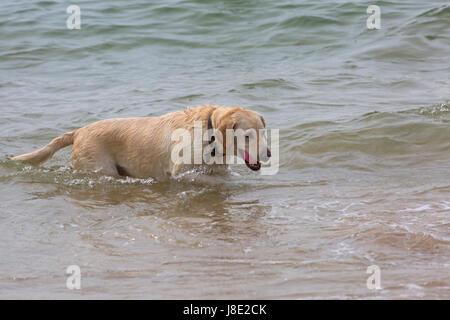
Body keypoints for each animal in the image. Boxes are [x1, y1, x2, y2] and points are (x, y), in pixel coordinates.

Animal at [12, 105, 268, 180]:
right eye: (248, 136)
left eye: (263, 132)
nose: (268, 154)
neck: (209, 131)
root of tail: (79, 131)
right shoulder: (182, 173)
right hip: (101, 167)